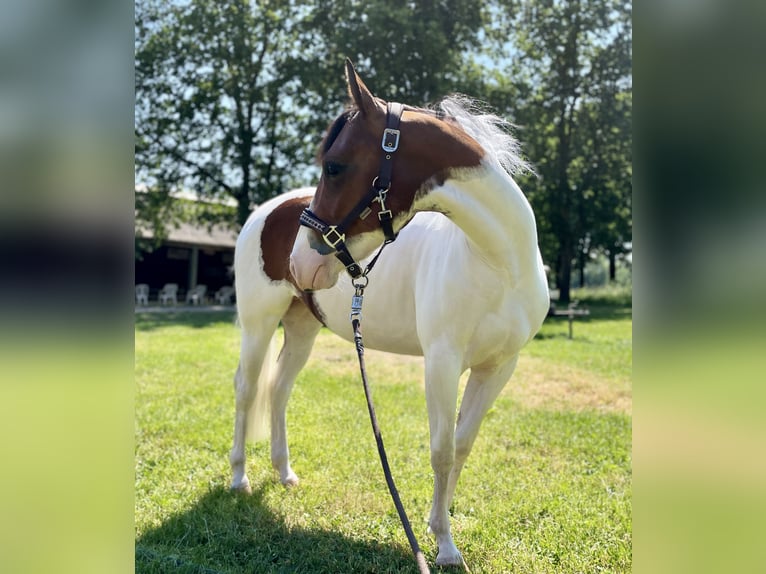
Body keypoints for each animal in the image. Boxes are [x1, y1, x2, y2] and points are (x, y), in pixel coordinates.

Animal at [230, 59, 549, 568]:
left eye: (335, 166)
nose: (302, 263)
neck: (496, 262)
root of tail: (267, 210)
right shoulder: (442, 362)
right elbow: (441, 450)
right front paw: (444, 547)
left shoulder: (498, 367)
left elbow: (462, 445)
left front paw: (439, 525)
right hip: (259, 323)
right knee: (247, 388)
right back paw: (239, 478)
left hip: (302, 327)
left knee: (279, 389)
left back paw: (284, 474)